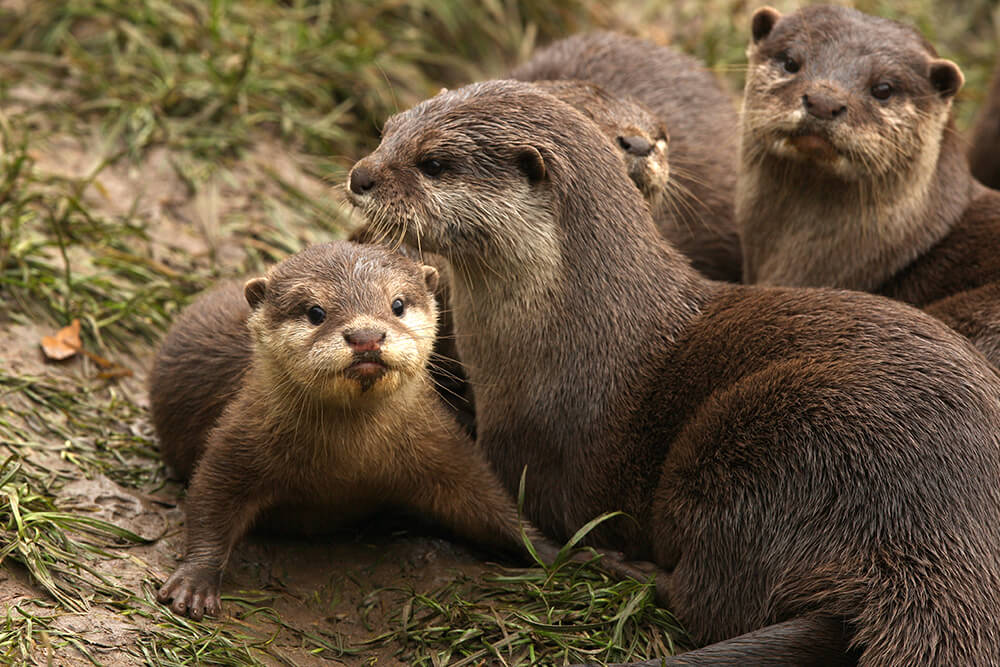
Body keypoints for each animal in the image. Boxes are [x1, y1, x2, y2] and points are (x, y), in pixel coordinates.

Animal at [152, 241, 568, 620]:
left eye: (397, 304)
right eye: (315, 312)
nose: (366, 335)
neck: (348, 462)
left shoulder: (442, 445)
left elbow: (489, 501)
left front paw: (557, 552)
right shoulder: (240, 435)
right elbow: (210, 500)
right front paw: (194, 582)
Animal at [348, 81, 1000, 664]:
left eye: (434, 162)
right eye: (386, 131)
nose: (360, 176)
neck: (573, 328)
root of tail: (935, 532)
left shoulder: (532, 450)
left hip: (767, 449)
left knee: (714, 598)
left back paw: (624, 568)